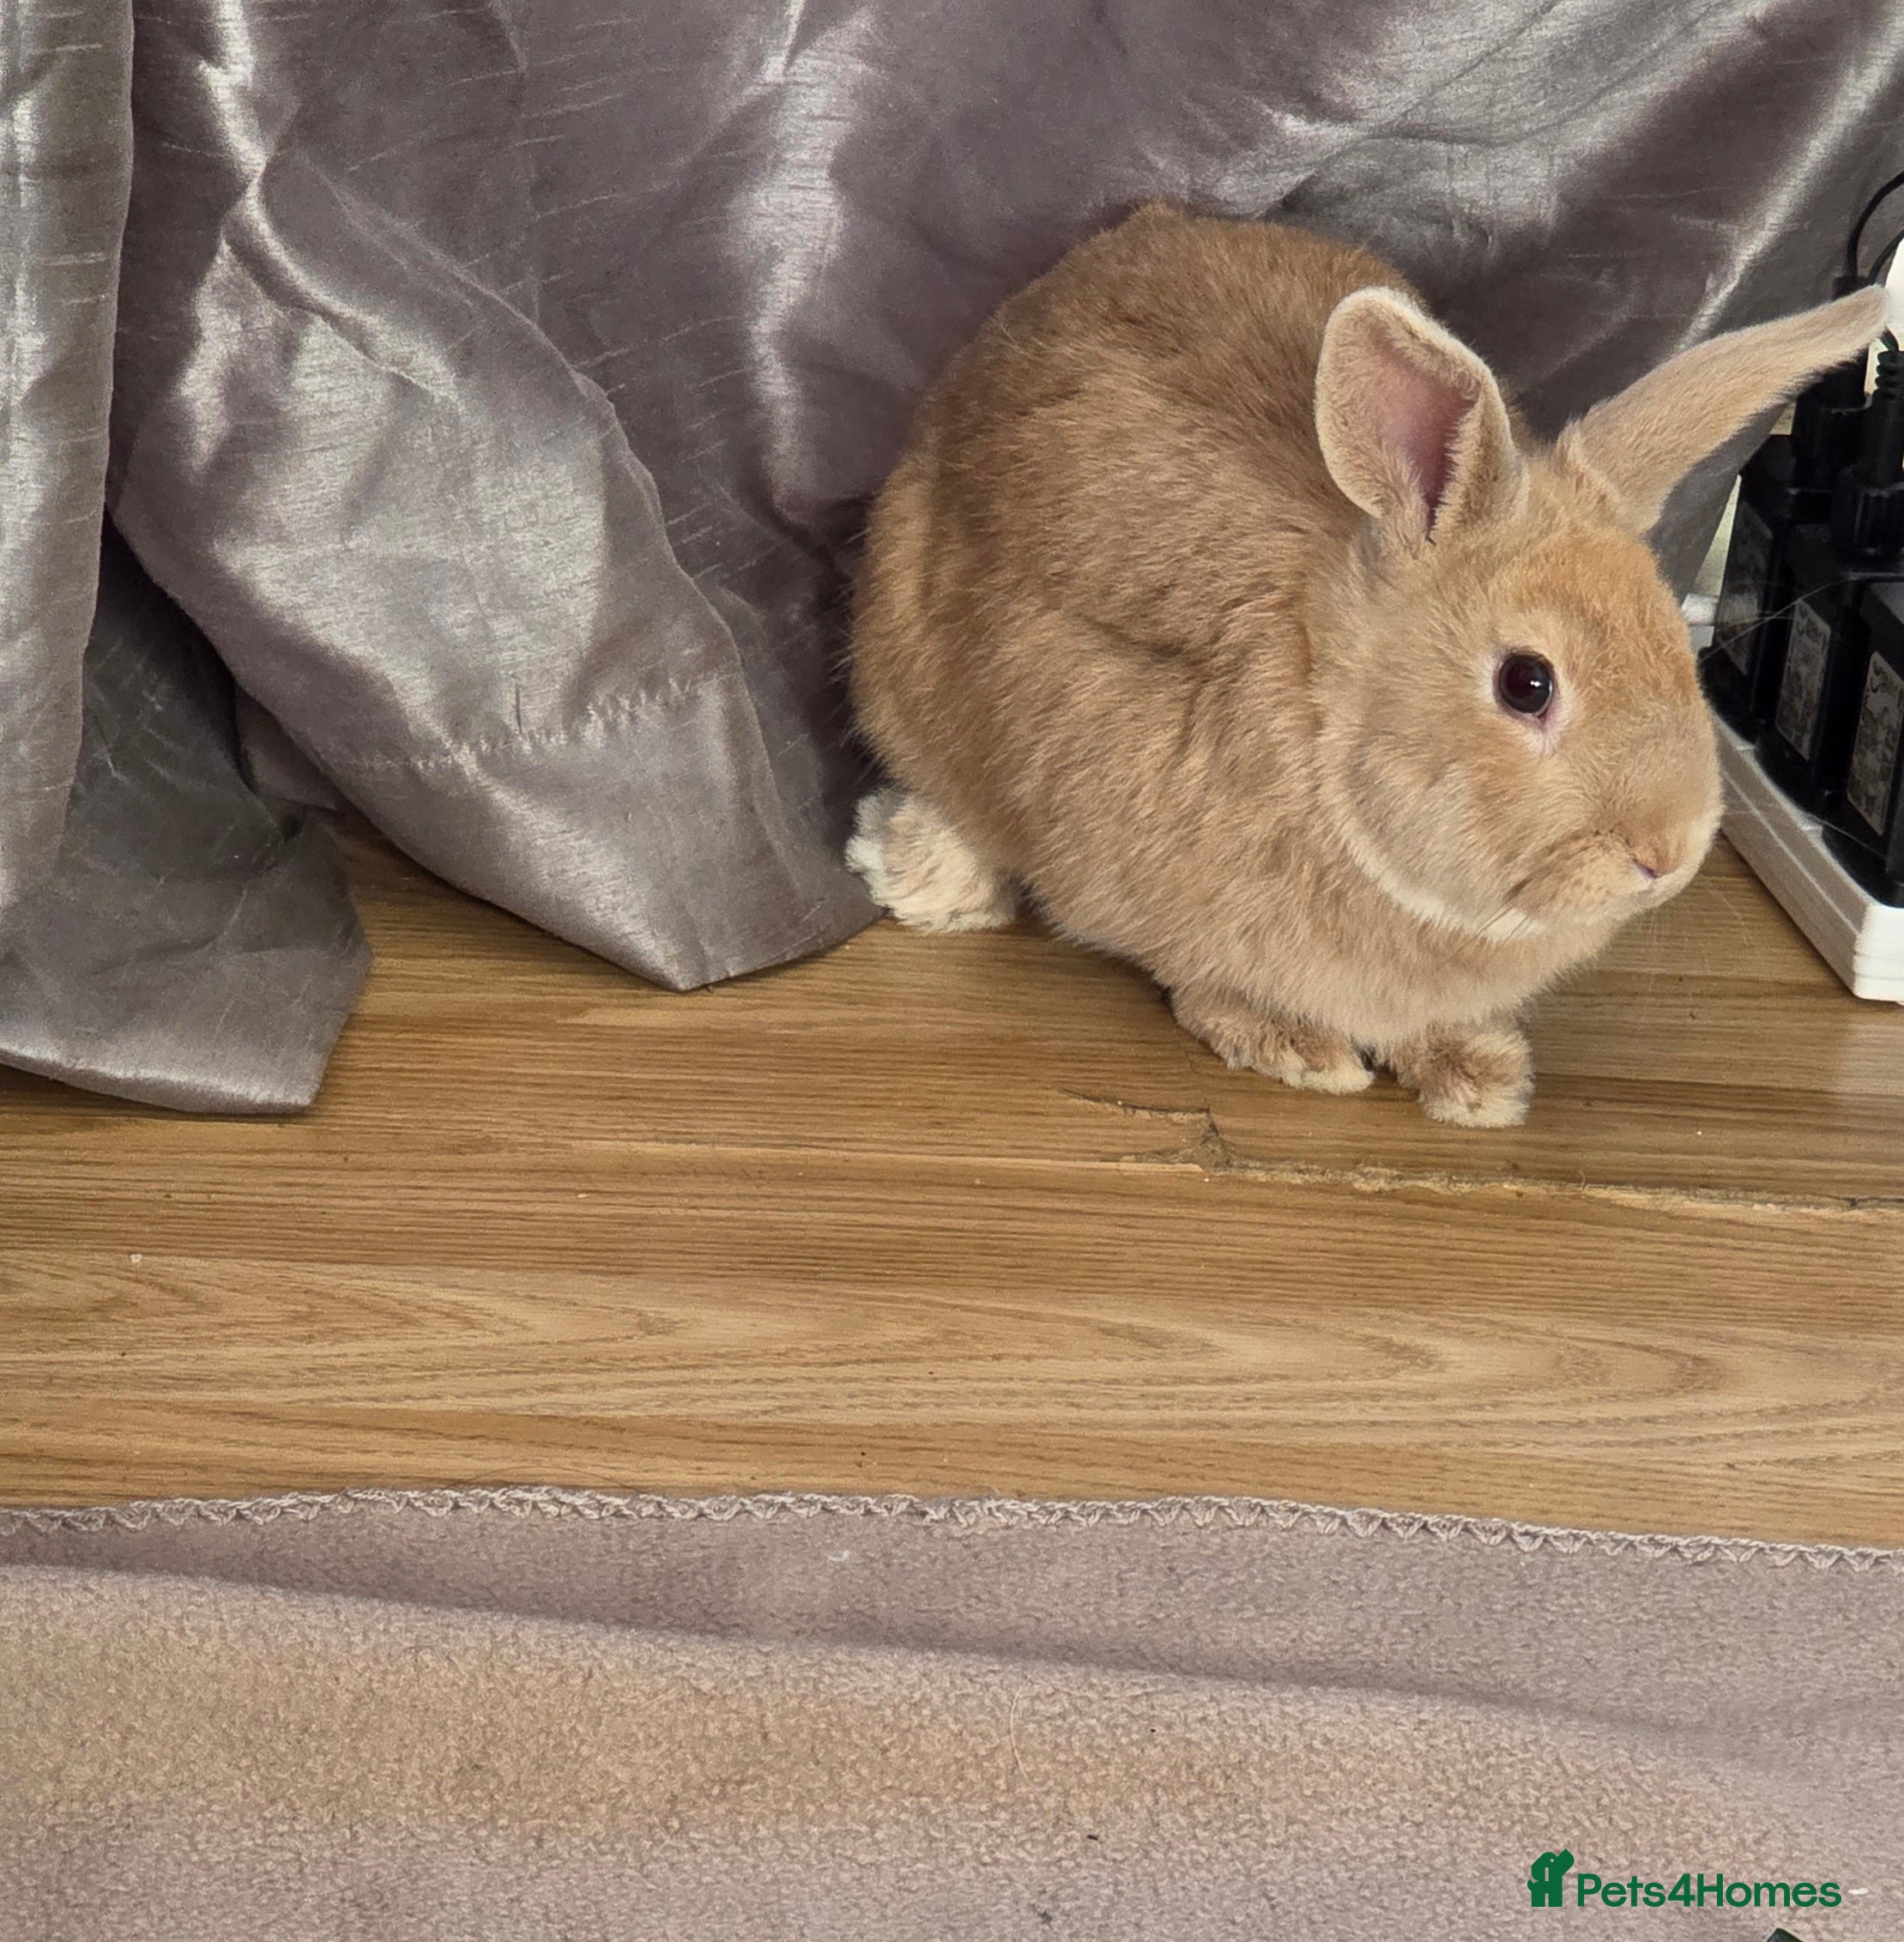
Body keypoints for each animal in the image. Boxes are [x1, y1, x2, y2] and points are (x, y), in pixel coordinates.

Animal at [845, 203, 1889, 1126]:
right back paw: (918, 872)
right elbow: (1195, 972)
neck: (1323, 724)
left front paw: (1476, 1076)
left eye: (1678, 642)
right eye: (1526, 684)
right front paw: (1293, 1047)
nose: (1664, 854)